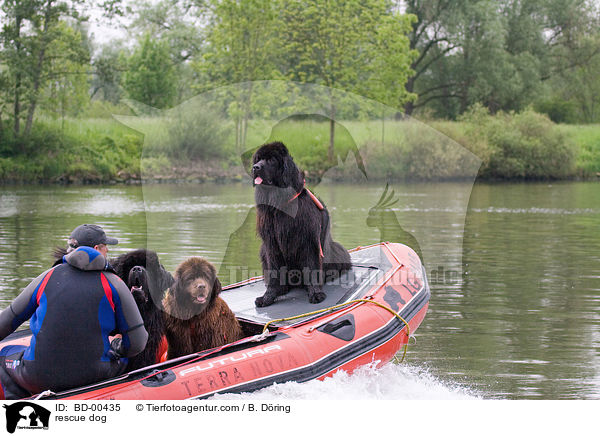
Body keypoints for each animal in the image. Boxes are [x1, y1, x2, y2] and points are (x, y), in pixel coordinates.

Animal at [252, 141, 352, 306]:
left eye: (271, 160)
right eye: (258, 159)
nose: (255, 167)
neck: (280, 204)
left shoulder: (309, 242)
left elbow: (311, 268)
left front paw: (316, 294)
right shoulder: (271, 244)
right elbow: (274, 272)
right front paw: (268, 297)